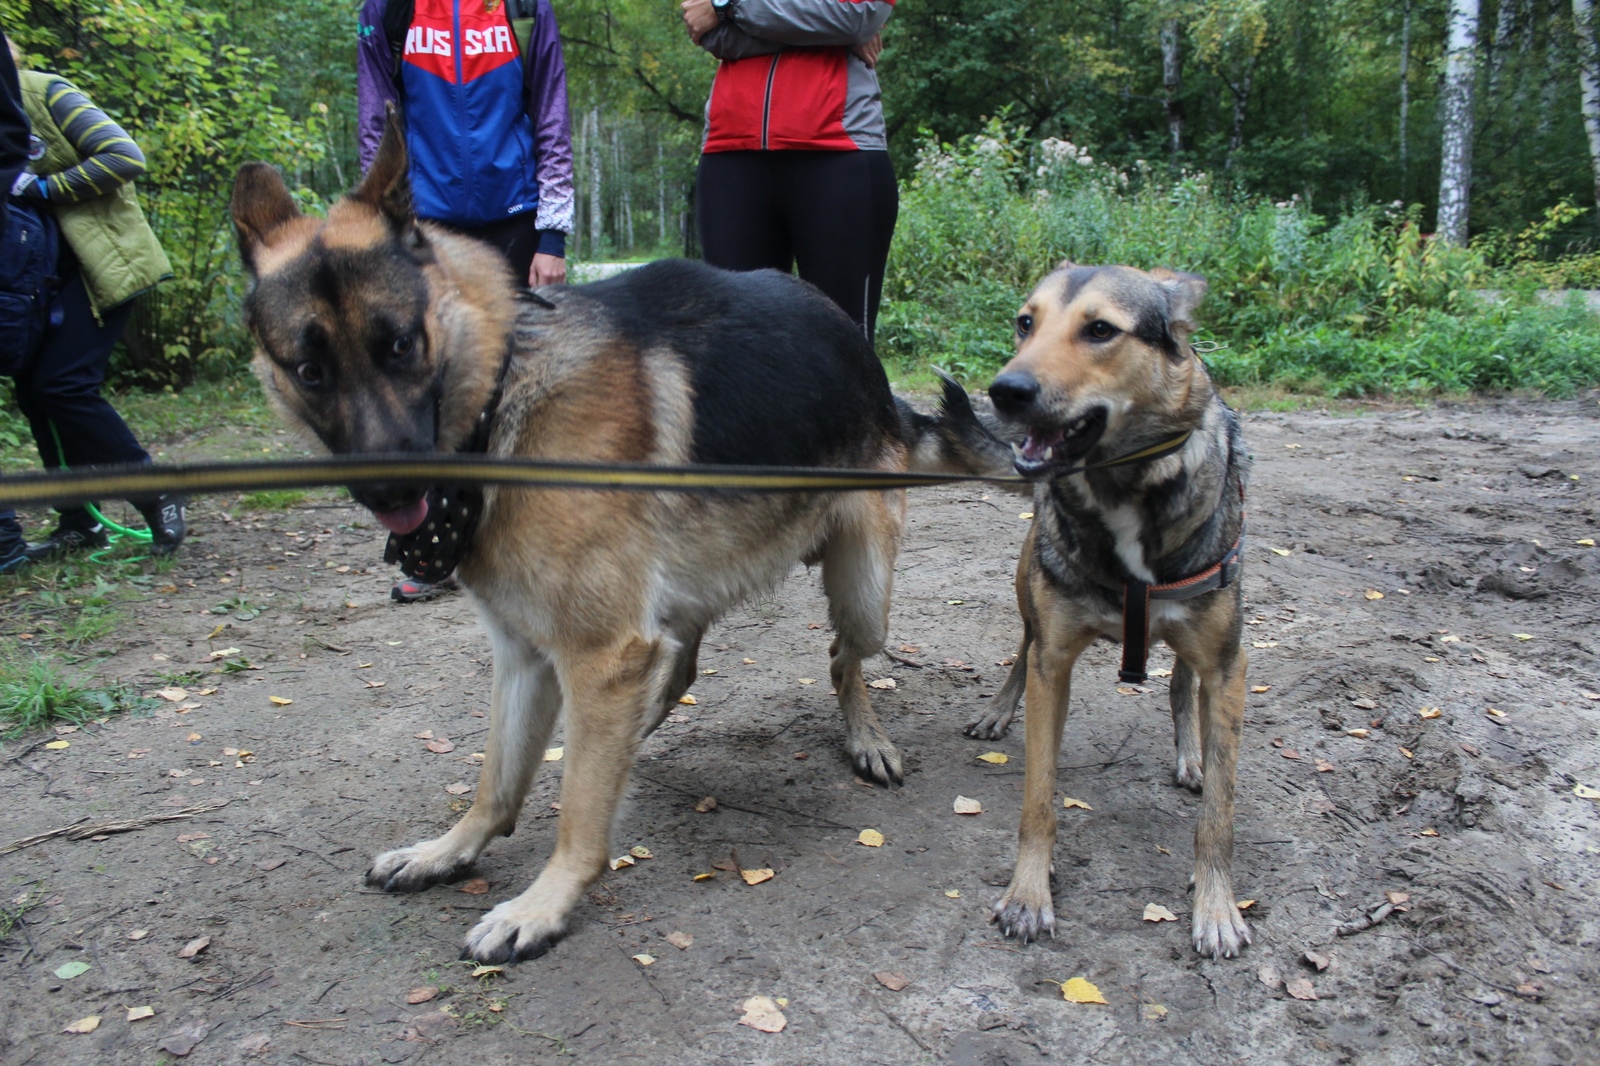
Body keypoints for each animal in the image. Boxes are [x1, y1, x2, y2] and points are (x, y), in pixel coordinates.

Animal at [225, 116, 947, 960]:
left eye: (400, 345)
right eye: (309, 369)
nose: (392, 493)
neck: (504, 395)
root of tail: (860, 346)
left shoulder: (598, 655)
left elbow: (577, 813)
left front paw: (543, 903)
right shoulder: (526, 656)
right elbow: (496, 781)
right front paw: (448, 850)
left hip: (863, 590)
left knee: (840, 655)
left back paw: (863, 737)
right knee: (686, 658)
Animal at [928, 264, 1248, 953]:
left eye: (1100, 330)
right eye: (1025, 322)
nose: (1005, 391)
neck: (1124, 489)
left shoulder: (1229, 665)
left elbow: (1219, 816)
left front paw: (1216, 907)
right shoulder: (1055, 660)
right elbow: (1038, 800)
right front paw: (1028, 895)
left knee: (1181, 684)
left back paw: (1190, 752)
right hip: (1027, 592)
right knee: (1020, 649)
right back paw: (997, 711)